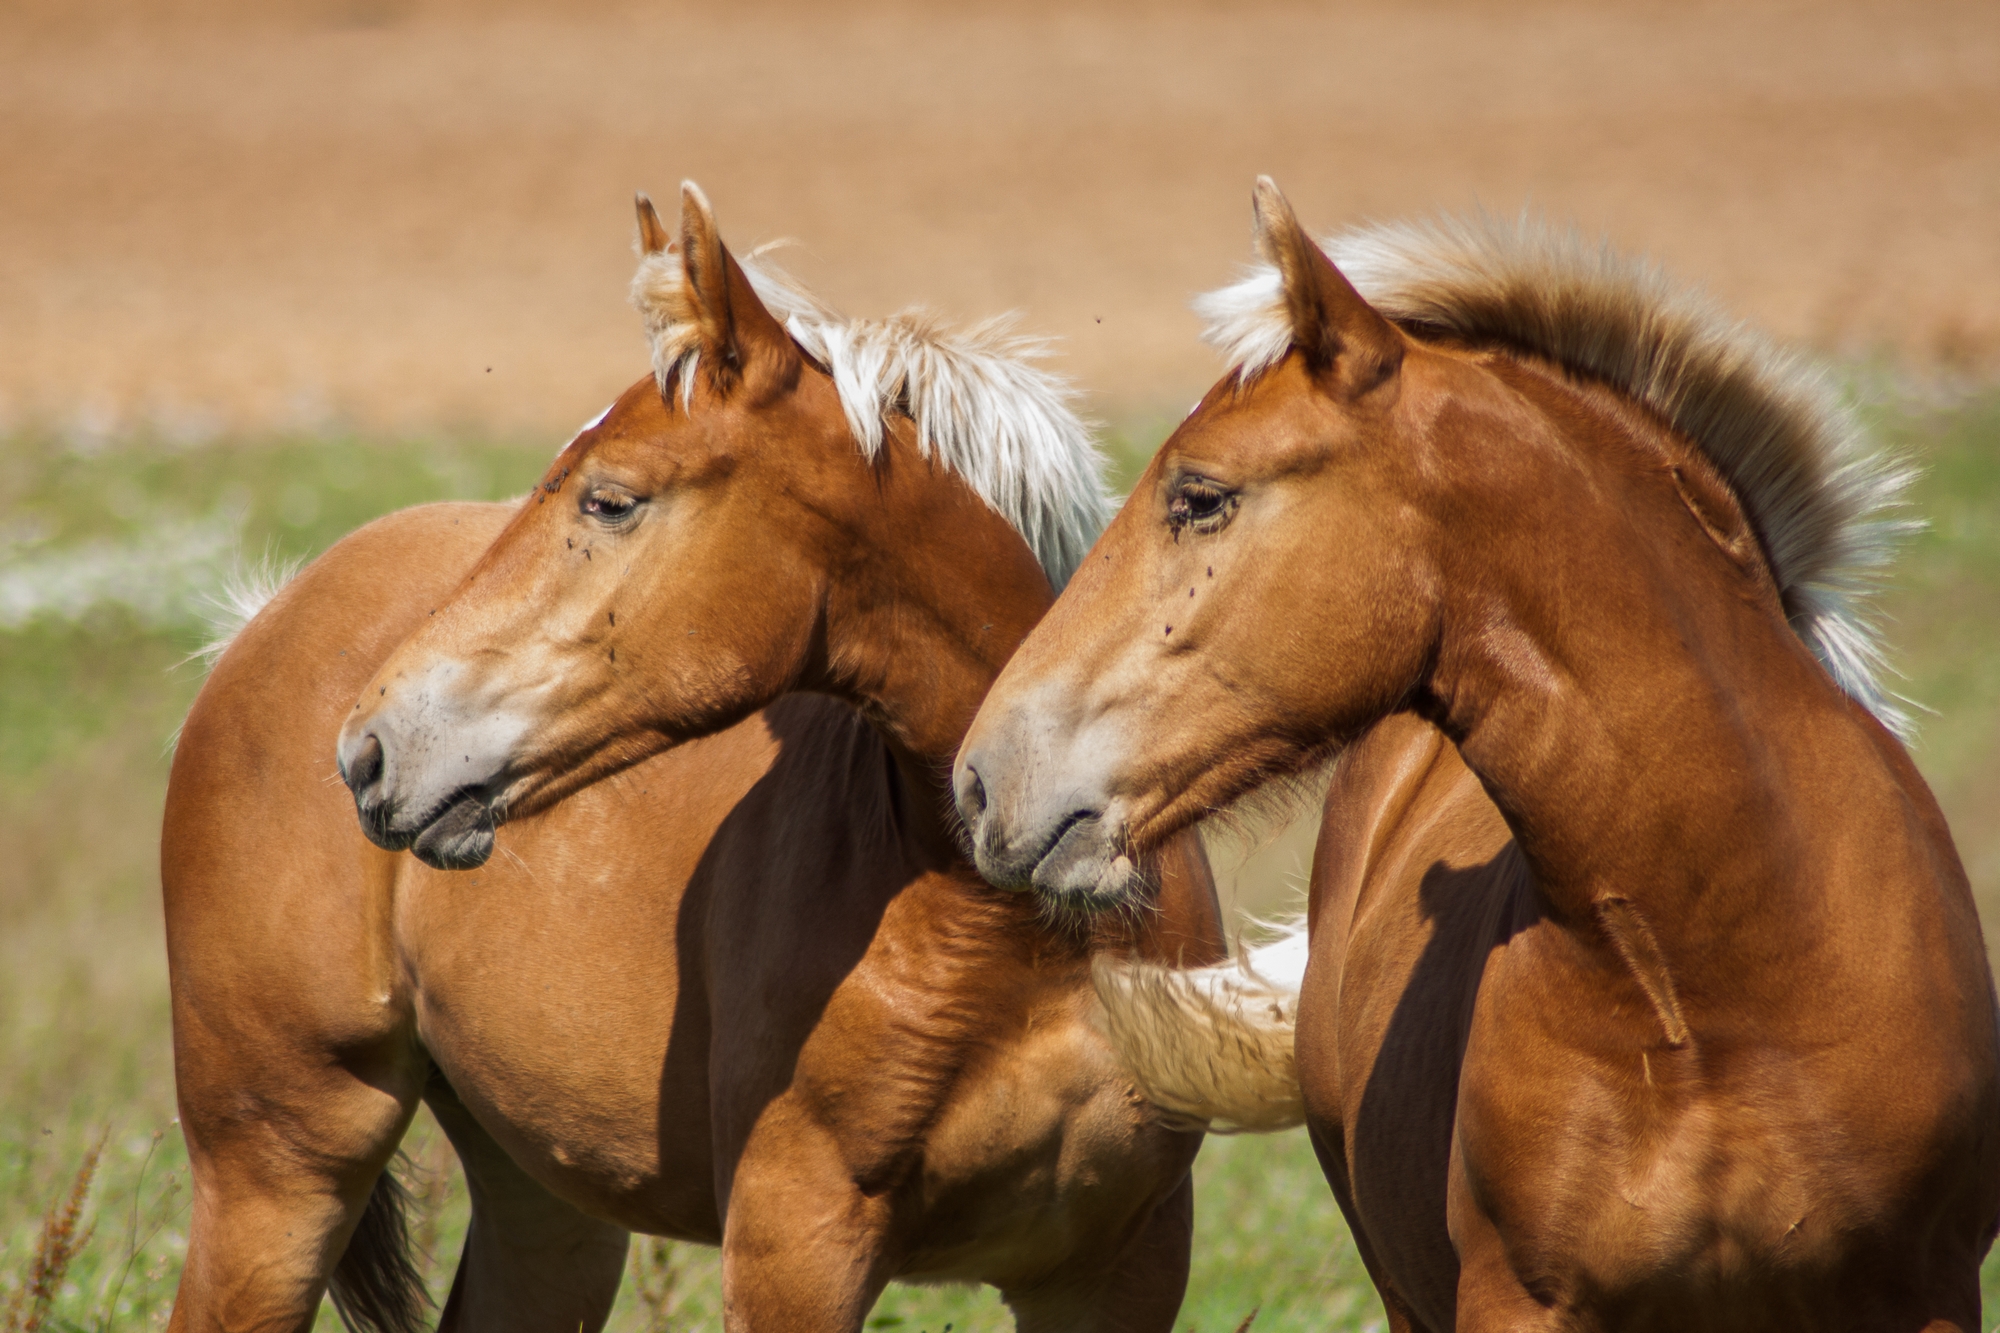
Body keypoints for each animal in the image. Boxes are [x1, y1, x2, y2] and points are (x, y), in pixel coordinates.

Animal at [164, 184, 1216, 1328]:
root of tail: (266, 615)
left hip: (545, 1200)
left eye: (609, 499)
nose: (370, 748)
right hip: (277, 1171)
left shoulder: (1120, 1265)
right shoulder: (792, 1248)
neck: (1022, 933)